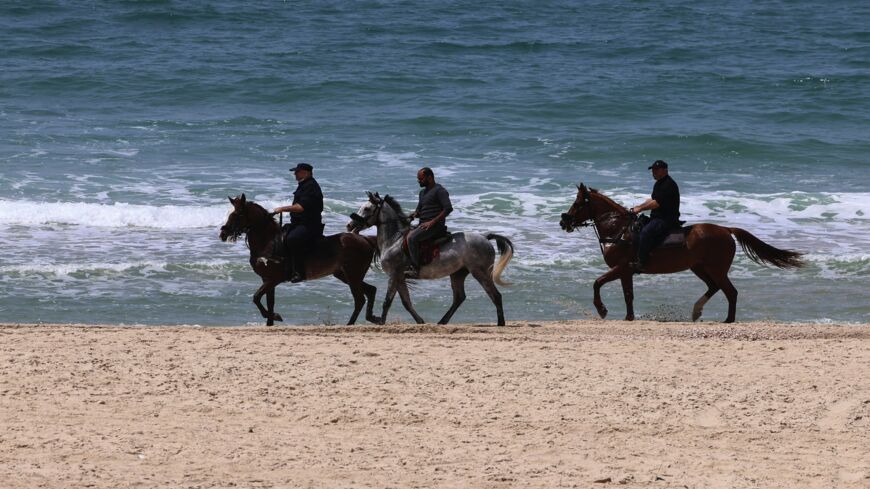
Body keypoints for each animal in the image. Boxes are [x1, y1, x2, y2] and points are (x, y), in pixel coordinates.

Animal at [220, 193, 380, 326]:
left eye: (238, 214)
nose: (223, 233)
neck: (269, 242)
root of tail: (365, 239)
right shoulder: (267, 280)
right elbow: (269, 302)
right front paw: (270, 321)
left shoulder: (273, 279)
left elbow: (256, 297)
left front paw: (275, 316)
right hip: (345, 275)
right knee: (370, 291)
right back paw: (373, 318)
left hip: (353, 276)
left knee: (360, 299)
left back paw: (350, 324)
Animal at [346, 193, 516, 326]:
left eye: (367, 208)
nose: (349, 225)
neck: (393, 240)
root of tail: (485, 237)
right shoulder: (399, 277)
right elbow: (406, 302)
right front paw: (420, 321)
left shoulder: (394, 275)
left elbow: (388, 301)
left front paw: (380, 321)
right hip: (458, 274)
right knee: (459, 298)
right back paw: (442, 321)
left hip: (480, 273)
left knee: (495, 295)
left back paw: (501, 323)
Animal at [564, 185, 808, 322]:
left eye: (577, 203)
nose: (563, 221)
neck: (619, 230)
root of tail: (726, 230)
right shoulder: (626, 273)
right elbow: (628, 295)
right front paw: (628, 317)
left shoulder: (621, 268)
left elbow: (597, 283)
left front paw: (602, 310)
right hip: (699, 267)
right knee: (715, 288)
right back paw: (697, 312)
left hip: (716, 269)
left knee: (730, 292)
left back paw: (728, 320)